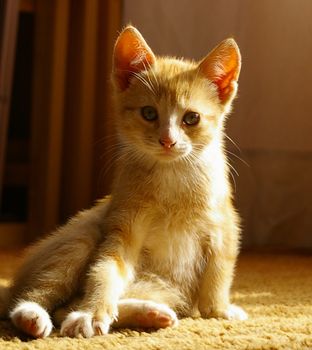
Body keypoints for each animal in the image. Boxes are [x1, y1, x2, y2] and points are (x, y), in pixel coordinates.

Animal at [3, 26, 246, 338]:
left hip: (162, 286)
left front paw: (218, 310)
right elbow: (105, 270)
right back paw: (31, 314)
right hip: (83, 234)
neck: (172, 180)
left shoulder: (223, 225)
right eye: (149, 113)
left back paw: (151, 314)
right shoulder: (123, 225)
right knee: (48, 299)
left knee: (67, 308)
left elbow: (219, 272)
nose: (168, 141)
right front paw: (93, 312)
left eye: (192, 118)